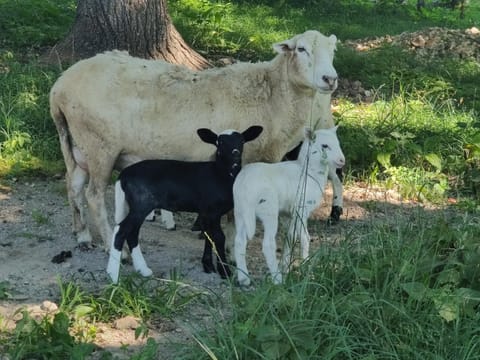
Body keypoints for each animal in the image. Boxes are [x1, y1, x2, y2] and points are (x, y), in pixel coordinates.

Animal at [233, 125, 344, 286]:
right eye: (324, 146)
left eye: (338, 143)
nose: (342, 160)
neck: (308, 172)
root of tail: (246, 186)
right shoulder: (302, 209)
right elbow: (304, 237)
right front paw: (305, 267)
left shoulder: (289, 214)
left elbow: (290, 238)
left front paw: (286, 267)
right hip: (268, 210)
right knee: (268, 244)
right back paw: (277, 279)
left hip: (240, 211)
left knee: (239, 241)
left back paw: (244, 278)